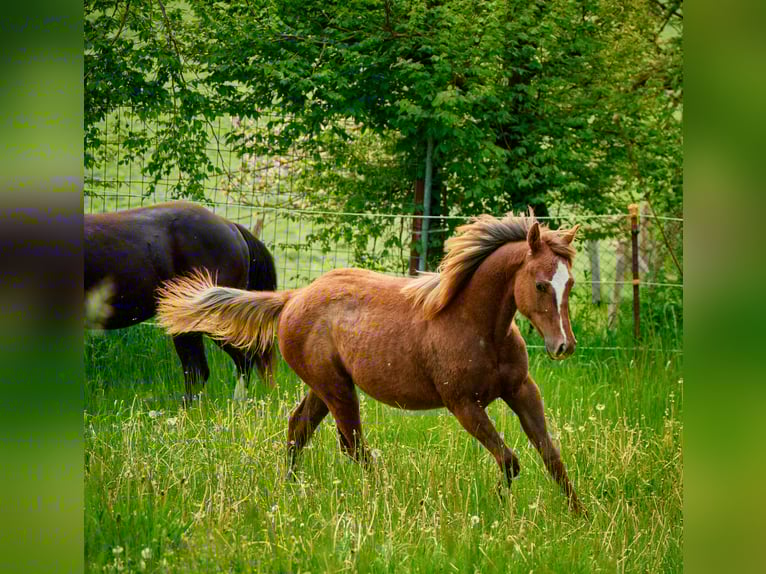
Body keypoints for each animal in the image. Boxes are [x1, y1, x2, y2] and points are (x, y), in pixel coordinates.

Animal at [155, 211, 585, 513]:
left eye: (570, 283)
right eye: (540, 284)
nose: (563, 346)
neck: (473, 323)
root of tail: (292, 298)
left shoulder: (521, 390)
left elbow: (551, 456)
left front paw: (579, 515)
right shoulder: (464, 404)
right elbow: (510, 460)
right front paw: (498, 506)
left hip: (323, 388)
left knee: (299, 428)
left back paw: (290, 489)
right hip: (338, 390)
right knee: (352, 445)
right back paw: (388, 496)